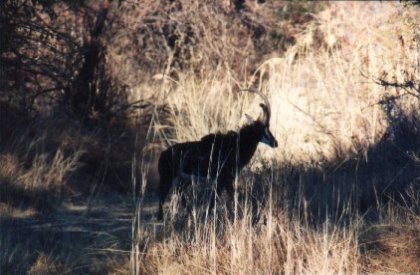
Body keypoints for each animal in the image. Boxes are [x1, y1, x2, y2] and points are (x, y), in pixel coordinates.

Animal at [156, 89, 278, 221]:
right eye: (263, 129)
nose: (275, 143)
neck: (237, 144)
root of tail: (163, 154)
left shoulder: (224, 180)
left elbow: (220, 199)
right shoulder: (224, 178)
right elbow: (221, 199)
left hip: (185, 179)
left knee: (178, 191)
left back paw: (190, 213)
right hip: (167, 177)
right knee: (163, 195)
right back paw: (162, 218)